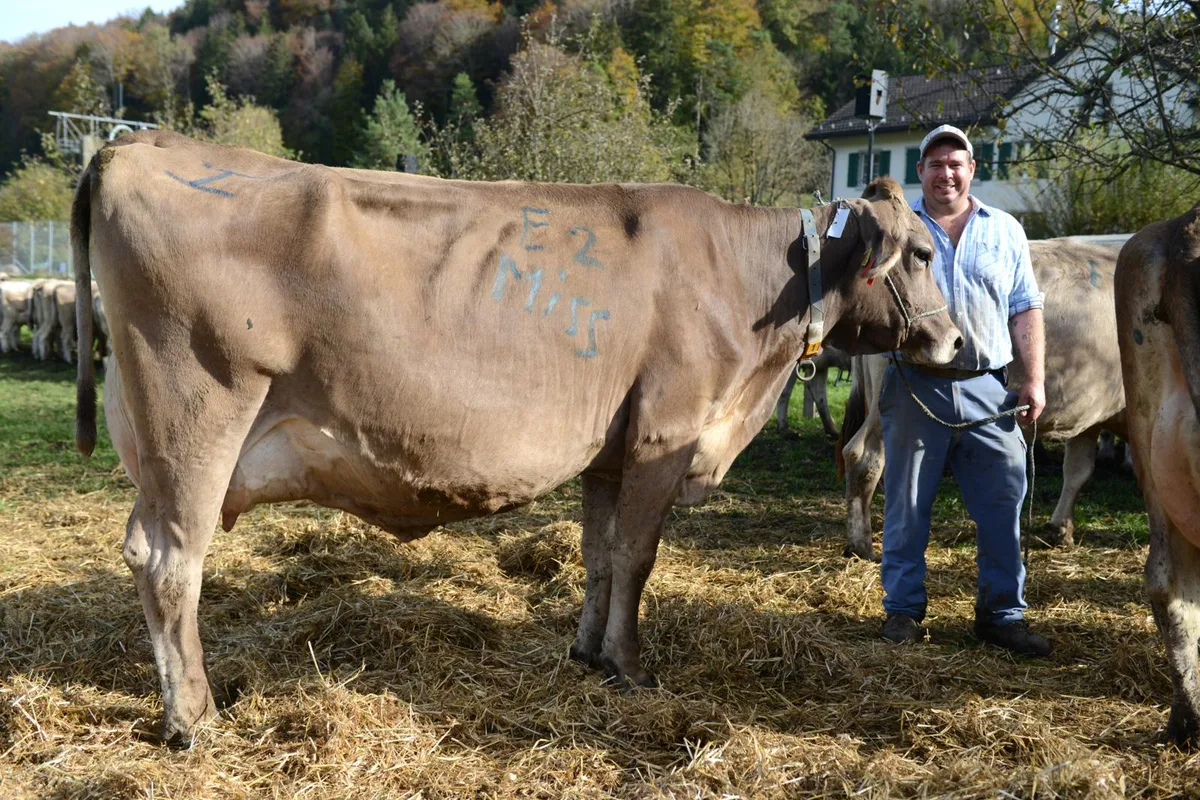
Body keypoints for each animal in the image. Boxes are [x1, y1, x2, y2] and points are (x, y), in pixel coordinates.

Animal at [72, 131, 961, 746]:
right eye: (921, 251)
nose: (956, 342)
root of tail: (137, 142)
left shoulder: (615, 446)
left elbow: (600, 555)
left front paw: (589, 653)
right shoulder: (664, 435)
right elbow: (637, 557)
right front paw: (632, 667)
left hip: (155, 441)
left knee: (146, 551)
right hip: (200, 414)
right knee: (172, 562)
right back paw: (192, 716)